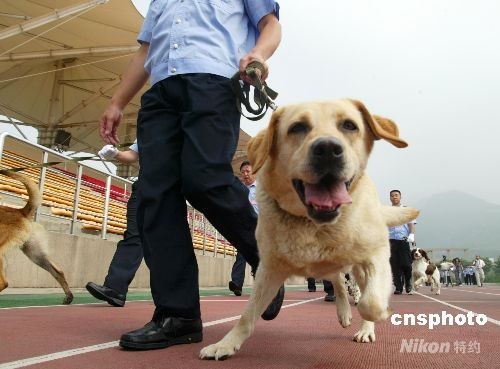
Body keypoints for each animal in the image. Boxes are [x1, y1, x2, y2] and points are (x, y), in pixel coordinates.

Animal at [199, 98, 418, 360]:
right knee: (337, 280)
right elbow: (247, 315)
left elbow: (371, 303)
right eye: (297, 127)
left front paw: (379, 313)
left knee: (355, 286)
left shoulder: (376, 256)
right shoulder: (268, 269)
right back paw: (344, 311)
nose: (328, 149)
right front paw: (226, 344)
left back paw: (364, 328)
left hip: (358, 265)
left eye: (349, 125)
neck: (313, 224)